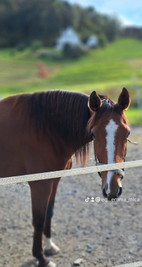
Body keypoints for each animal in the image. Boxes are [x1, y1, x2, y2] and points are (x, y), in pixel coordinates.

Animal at [0, 88, 130, 266]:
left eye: (127, 133)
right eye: (94, 134)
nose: (112, 188)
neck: (45, 128)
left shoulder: (54, 180)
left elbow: (49, 212)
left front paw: (49, 247)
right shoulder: (40, 185)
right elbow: (38, 219)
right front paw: (41, 258)